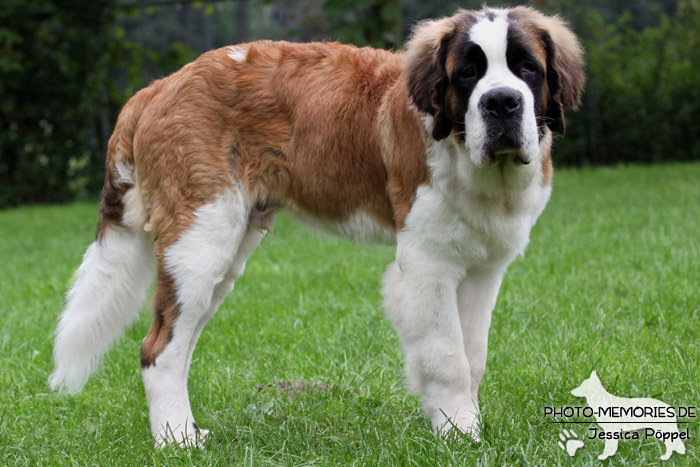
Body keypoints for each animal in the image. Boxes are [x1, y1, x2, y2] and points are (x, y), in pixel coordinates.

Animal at [49, 6, 584, 446]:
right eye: (469, 73)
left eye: (527, 69)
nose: (501, 103)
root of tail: (155, 88)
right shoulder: (427, 264)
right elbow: (447, 355)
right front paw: (458, 434)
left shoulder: (483, 269)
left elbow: (473, 354)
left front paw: (460, 422)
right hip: (199, 241)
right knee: (158, 348)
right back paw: (176, 442)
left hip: (223, 252)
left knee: (181, 342)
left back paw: (186, 431)